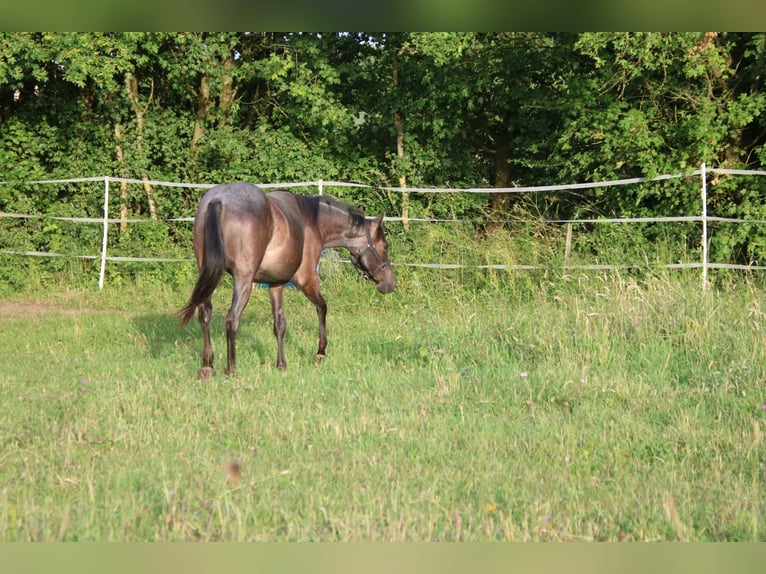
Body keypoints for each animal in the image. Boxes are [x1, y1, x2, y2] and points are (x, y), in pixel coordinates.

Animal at [179, 182, 397, 378]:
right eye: (385, 246)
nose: (391, 283)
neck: (313, 224)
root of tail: (218, 200)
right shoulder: (307, 281)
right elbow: (322, 307)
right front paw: (320, 352)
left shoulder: (276, 284)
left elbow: (279, 325)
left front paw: (281, 364)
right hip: (243, 281)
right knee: (232, 319)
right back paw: (231, 368)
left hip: (208, 273)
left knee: (205, 314)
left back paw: (207, 365)